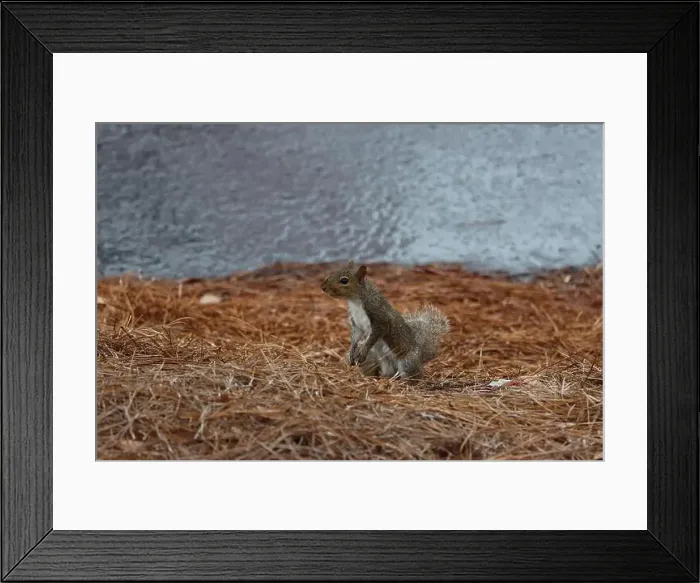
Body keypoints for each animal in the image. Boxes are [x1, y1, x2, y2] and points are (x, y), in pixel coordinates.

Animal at [321, 260, 450, 379]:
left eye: (344, 280)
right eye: (333, 273)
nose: (323, 287)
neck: (355, 301)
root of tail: (420, 355)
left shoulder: (380, 318)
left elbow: (373, 337)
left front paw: (363, 350)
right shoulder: (356, 323)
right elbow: (355, 337)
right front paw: (352, 351)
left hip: (407, 362)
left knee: (413, 376)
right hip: (380, 360)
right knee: (386, 371)